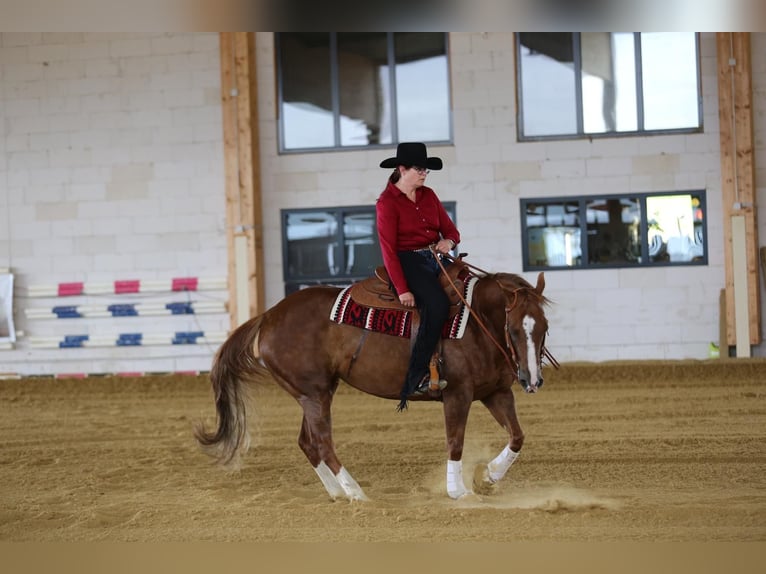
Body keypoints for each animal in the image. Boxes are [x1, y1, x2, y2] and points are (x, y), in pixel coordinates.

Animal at [196, 268, 560, 502]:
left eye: (544, 327)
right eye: (513, 329)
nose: (532, 380)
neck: (476, 321)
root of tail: (268, 316)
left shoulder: (496, 392)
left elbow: (517, 436)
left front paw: (488, 476)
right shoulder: (458, 393)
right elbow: (455, 442)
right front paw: (458, 491)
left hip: (314, 392)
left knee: (307, 443)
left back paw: (337, 493)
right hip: (315, 394)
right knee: (323, 443)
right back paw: (356, 493)